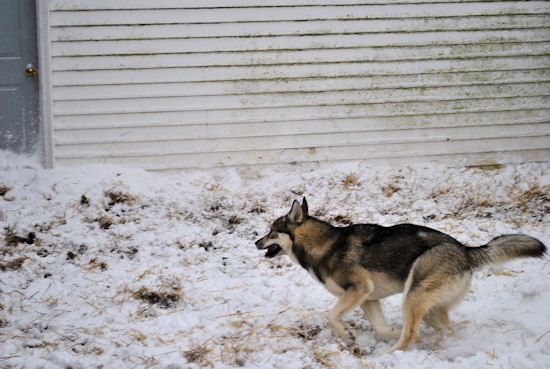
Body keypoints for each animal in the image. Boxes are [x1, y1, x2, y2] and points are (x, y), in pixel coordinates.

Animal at [256, 197, 548, 352]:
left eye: (271, 231)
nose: (255, 242)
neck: (324, 245)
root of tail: (465, 250)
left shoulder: (359, 290)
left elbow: (332, 315)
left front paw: (348, 336)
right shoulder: (369, 298)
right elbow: (381, 327)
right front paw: (389, 330)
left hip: (413, 296)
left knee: (412, 335)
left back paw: (392, 354)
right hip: (428, 307)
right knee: (444, 330)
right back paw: (434, 346)